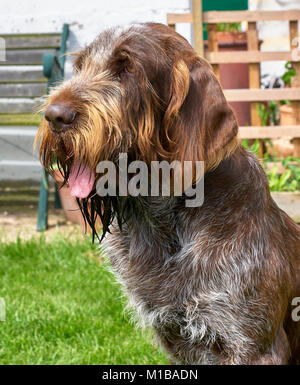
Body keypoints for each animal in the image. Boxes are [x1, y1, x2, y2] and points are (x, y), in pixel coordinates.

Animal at [35, 22, 300, 364]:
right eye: (79, 67)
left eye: (127, 68)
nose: (55, 115)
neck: (163, 223)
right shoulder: (175, 338)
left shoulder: (254, 346)